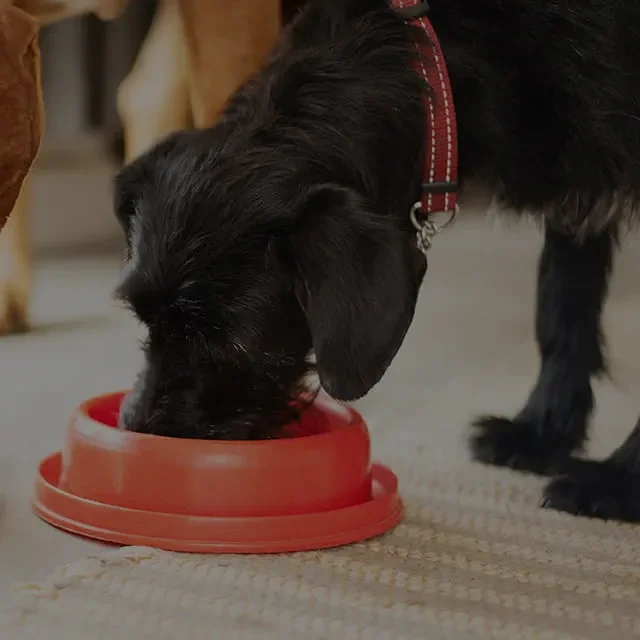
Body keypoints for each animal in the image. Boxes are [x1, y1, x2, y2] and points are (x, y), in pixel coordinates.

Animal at [114, 0, 640, 523]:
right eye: (145, 320)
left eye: (229, 343)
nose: (137, 429)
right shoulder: (579, 177)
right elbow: (561, 308)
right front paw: (542, 432)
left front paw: (617, 481)